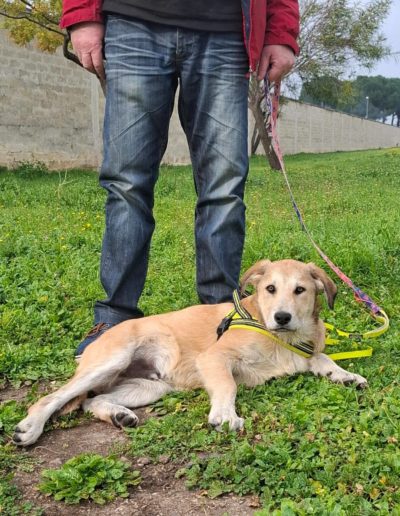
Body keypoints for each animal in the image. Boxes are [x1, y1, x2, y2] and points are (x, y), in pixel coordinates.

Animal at [13, 259, 367, 446]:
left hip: (149, 386)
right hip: (112, 360)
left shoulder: (304, 353)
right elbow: (228, 385)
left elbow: (322, 358)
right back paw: (30, 428)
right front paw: (224, 414)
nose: (282, 317)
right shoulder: (213, 358)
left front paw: (346, 375)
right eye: (270, 289)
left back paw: (118, 415)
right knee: (52, 398)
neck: (281, 339)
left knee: (91, 401)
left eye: (300, 290)